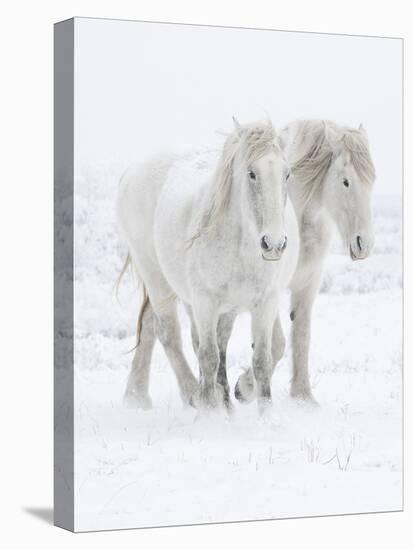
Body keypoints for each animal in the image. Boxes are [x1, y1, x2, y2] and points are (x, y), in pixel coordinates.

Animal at [117, 121, 298, 414]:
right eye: (251, 173)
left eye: (287, 174)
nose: (273, 244)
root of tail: (131, 173)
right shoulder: (205, 301)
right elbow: (209, 356)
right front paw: (208, 413)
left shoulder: (264, 302)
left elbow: (261, 359)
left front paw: (264, 414)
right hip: (158, 281)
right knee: (169, 334)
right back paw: (192, 394)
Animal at [233, 119, 374, 406]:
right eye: (345, 182)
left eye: (371, 181)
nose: (363, 243)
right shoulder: (270, 290)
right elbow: (276, 343)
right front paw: (244, 388)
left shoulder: (308, 284)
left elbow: (302, 335)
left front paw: (303, 397)